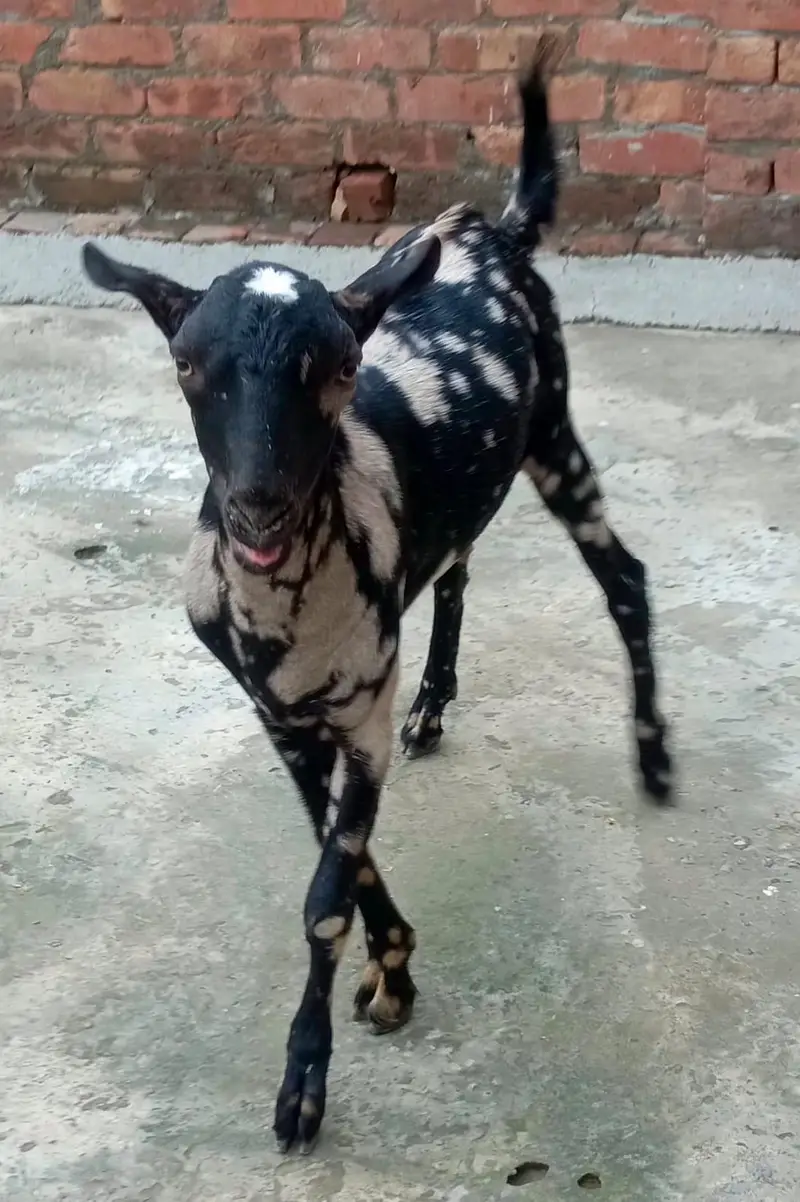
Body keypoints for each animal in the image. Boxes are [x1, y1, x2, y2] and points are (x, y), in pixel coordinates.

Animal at [81, 59, 671, 1154]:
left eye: (342, 368)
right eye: (186, 363)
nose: (259, 503)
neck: (286, 613)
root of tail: (493, 231)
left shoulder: (355, 712)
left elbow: (325, 890)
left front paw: (305, 1081)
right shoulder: (283, 718)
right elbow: (337, 857)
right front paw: (392, 963)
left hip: (553, 434)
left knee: (623, 576)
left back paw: (654, 758)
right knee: (459, 568)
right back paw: (436, 704)